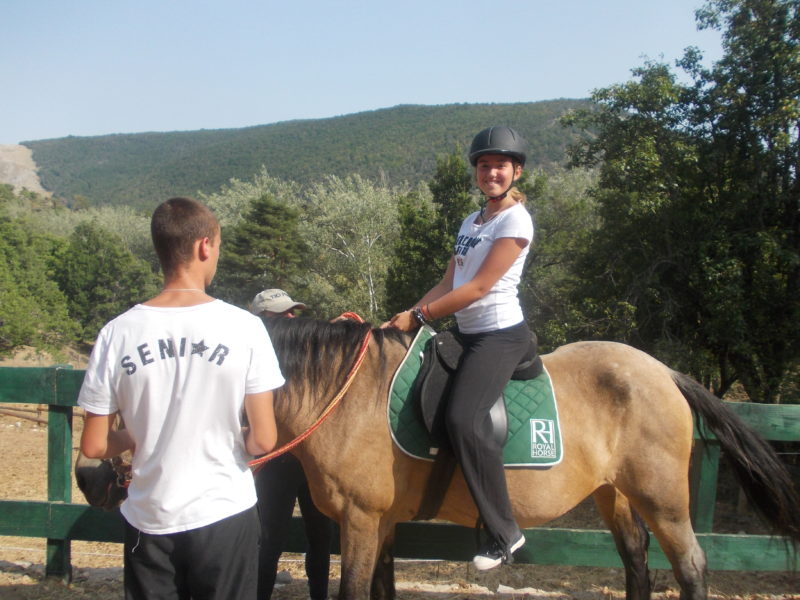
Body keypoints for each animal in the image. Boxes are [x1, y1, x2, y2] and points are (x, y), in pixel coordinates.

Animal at [75, 316, 800, 596]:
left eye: (127, 382)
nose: (87, 476)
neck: (340, 394)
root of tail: (664, 372)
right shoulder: (381, 524)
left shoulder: (361, 521)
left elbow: (354, 590)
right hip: (614, 496)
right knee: (637, 567)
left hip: (663, 498)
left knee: (691, 568)